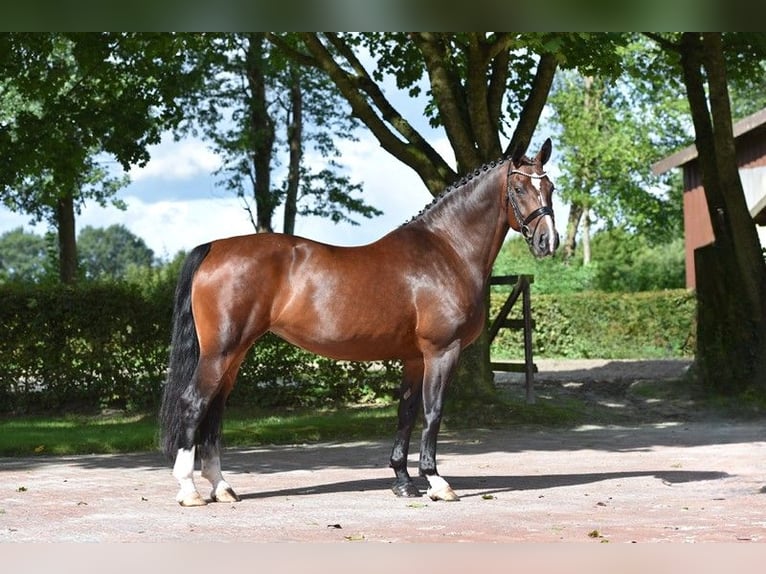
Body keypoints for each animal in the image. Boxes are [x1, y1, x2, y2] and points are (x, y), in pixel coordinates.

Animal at [160, 140, 560, 508]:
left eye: (551, 187)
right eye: (519, 189)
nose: (548, 241)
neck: (446, 250)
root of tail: (214, 247)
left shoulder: (414, 358)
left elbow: (406, 413)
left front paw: (403, 482)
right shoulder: (441, 351)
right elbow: (433, 411)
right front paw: (436, 481)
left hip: (234, 353)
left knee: (215, 410)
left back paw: (222, 488)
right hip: (220, 352)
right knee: (194, 404)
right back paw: (189, 491)